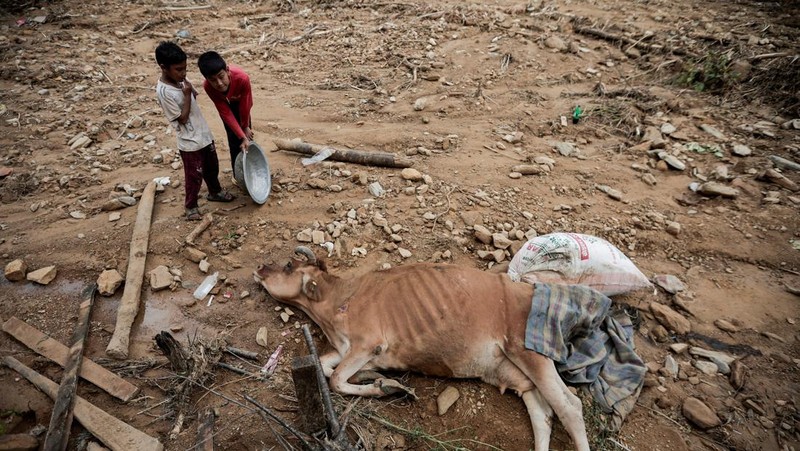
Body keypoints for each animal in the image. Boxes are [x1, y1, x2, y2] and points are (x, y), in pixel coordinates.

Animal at [253, 247, 592, 451]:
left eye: (288, 264)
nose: (259, 267)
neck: (336, 302)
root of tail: (529, 288)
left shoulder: (368, 342)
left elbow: (335, 379)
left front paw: (386, 387)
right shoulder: (343, 348)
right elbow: (324, 365)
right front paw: (380, 379)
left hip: (528, 349)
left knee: (570, 406)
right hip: (513, 369)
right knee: (542, 411)